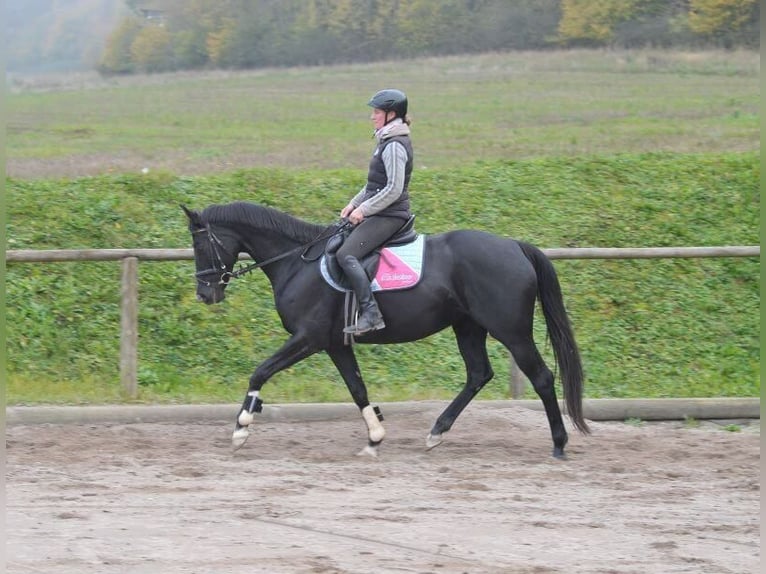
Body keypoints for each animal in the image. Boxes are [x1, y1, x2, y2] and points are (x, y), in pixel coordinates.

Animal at [183, 201, 592, 460]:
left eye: (200, 243)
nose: (205, 293)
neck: (297, 262)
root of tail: (515, 247)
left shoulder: (308, 338)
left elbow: (260, 371)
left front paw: (242, 427)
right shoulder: (335, 344)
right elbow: (357, 389)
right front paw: (374, 438)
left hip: (511, 330)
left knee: (541, 377)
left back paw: (559, 444)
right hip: (468, 327)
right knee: (478, 374)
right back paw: (436, 432)